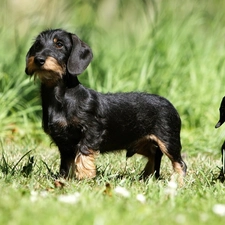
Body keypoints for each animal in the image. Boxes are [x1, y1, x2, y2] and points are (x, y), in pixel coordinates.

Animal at [24, 29, 187, 182]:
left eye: (59, 44)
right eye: (38, 45)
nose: (38, 59)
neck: (61, 97)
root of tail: (171, 105)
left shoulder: (92, 131)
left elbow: (83, 151)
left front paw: (84, 176)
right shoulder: (63, 142)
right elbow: (66, 163)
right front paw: (63, 179)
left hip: (168, 141)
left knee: (180, 163)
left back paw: (177, 183)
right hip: (143, 143)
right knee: (154, 157)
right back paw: (147, 177)